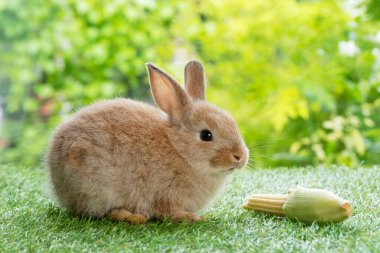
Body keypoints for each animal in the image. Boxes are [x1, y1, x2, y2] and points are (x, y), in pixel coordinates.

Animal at [46, 60, 249, 223]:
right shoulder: (164, 195)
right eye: (206, 135)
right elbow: (168, 212)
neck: (180, 151)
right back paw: (134, 217)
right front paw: (193, 218)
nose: (240, 156)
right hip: (95, 186)